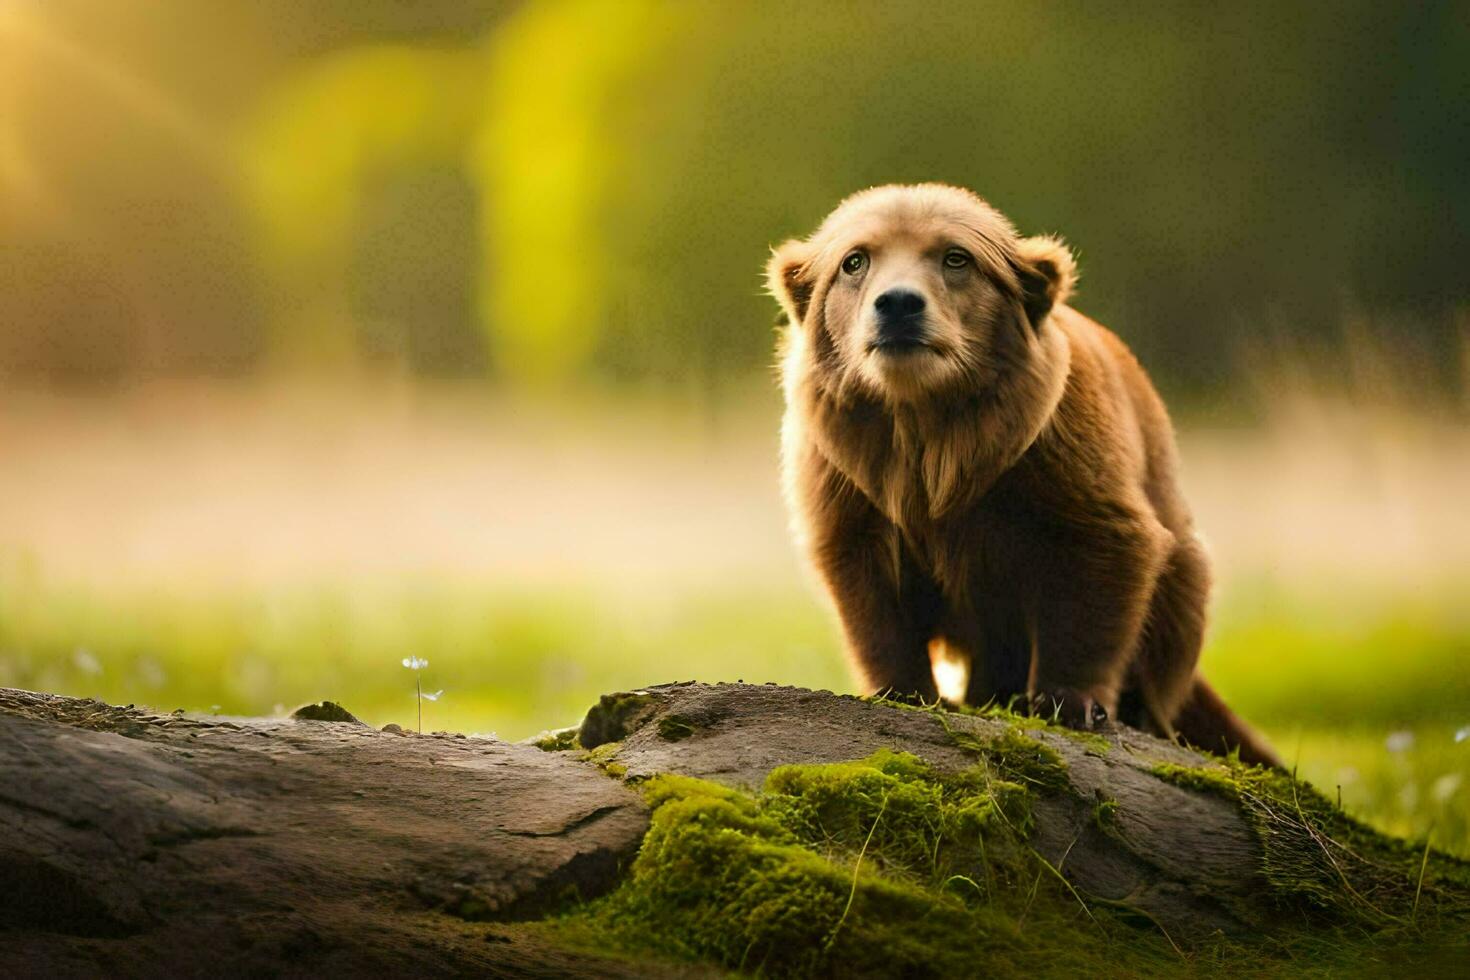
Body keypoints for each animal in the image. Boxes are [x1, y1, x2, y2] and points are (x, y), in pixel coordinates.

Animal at [776, 182, 1281, 764]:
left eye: (956, 257)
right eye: (855, 259)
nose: (899, 303)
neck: (928, 429)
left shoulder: (1053, 449)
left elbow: (1104, 557)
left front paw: (1068, 700)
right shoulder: (850, 476)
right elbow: (868, 587)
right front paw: (902, 690)